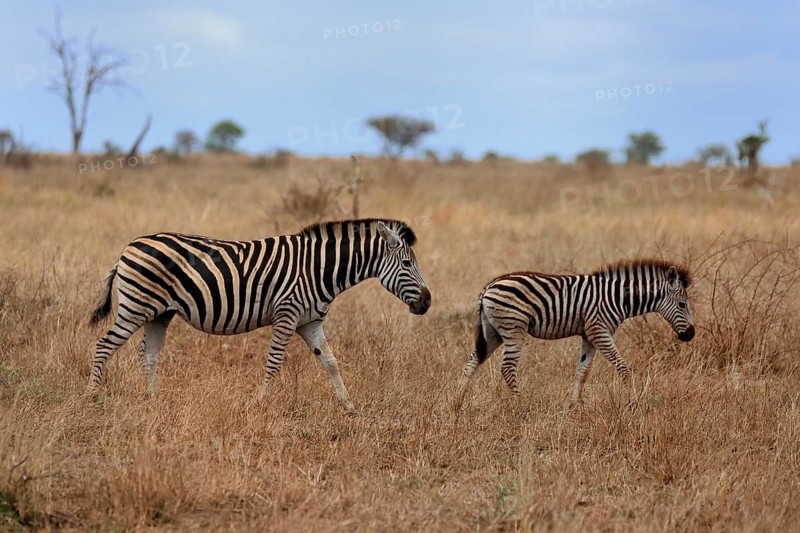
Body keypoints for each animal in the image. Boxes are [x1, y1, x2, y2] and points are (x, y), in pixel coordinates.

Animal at [88, 218, 431, 414]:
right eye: (406, 264)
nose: (427, 302)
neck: (320, 270)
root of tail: (129, 247)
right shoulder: (287, 315)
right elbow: (274, 362)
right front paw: (259, 403)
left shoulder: (310, 322)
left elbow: (331, 362)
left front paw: (349, 407)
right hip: (136, 307)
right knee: (104, 345)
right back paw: (91, 396)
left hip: (159, 313)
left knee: (148, 355)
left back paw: (154, 399)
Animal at [459, 259, 694, 402]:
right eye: (682, 305)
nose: (691, 334)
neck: (618, 298)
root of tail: (489, 287)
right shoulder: (599, 330)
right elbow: (623, 366)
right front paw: (631, 402)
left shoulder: (589, 336)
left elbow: (582, 370)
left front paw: (574, 404)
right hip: (513, 329)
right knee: (507, 368)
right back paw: (520, 403)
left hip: (493, 332)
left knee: (472, 361)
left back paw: (457, 402)